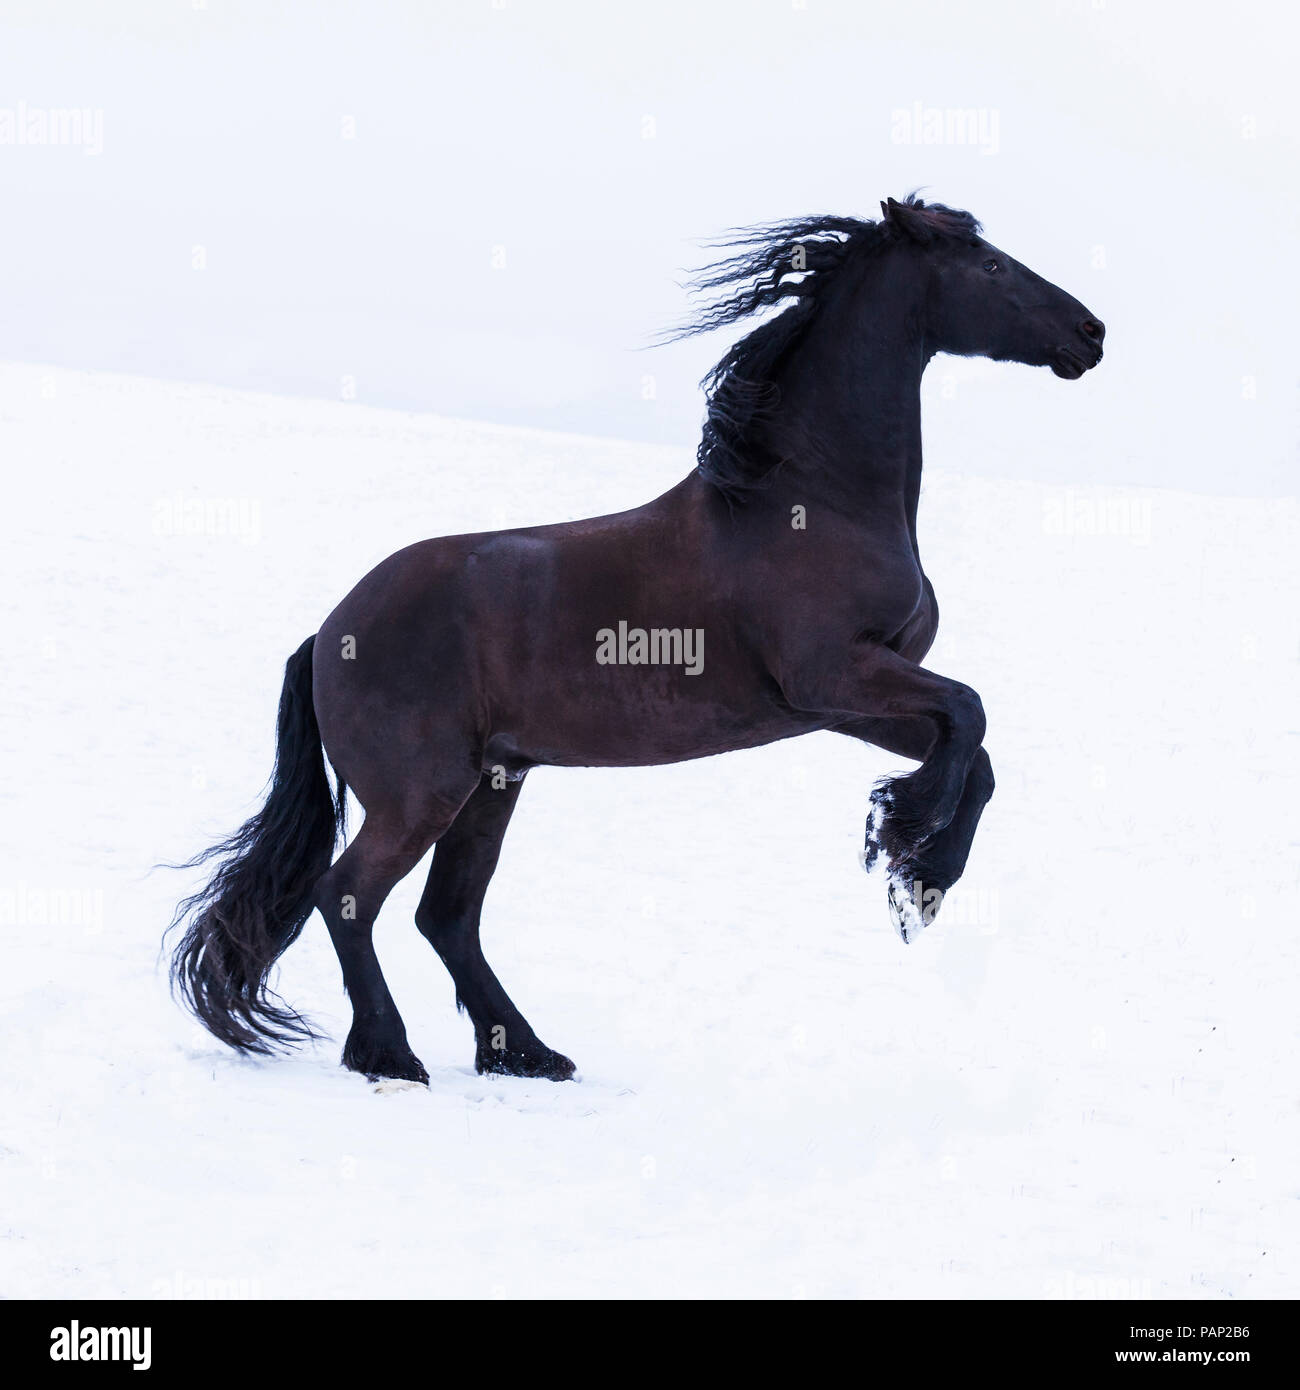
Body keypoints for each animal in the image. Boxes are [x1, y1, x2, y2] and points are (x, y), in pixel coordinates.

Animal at [170, 195, 1106, 1084]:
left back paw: (529, 1053)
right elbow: (972, 713)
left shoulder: (846, 702)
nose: (1091, 333)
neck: (811, 503)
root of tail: (329, 630)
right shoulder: (835, 676)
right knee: (349, 896)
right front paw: (906, 845)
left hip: (494, 785)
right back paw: (390, 1054)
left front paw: (921, 873)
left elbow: (976, 754)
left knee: (448, 917)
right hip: (421, 793)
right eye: (988, 263)